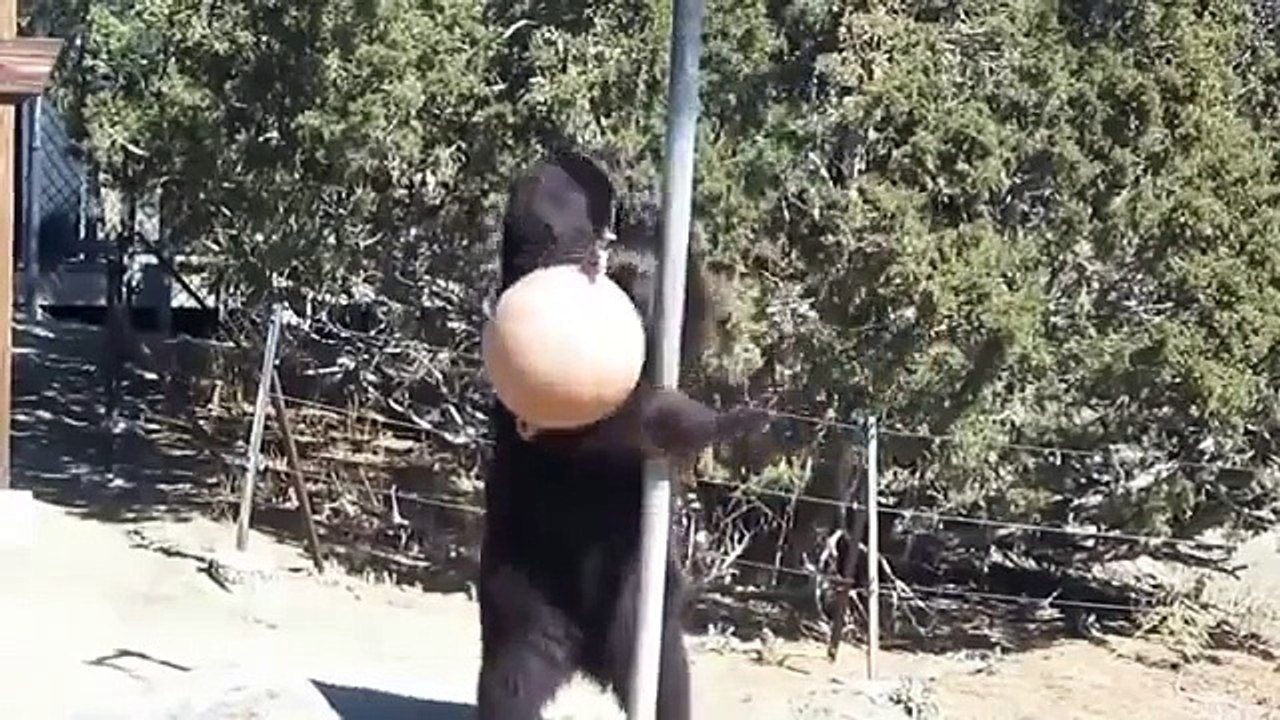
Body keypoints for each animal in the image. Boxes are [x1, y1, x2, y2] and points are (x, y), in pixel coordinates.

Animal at [475, 148, 770, 720]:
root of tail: (585, 647)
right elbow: (630, 417)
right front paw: (740, 421)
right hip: (525, 572)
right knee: (526, 666)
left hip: (618, 583)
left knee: (650, 669)